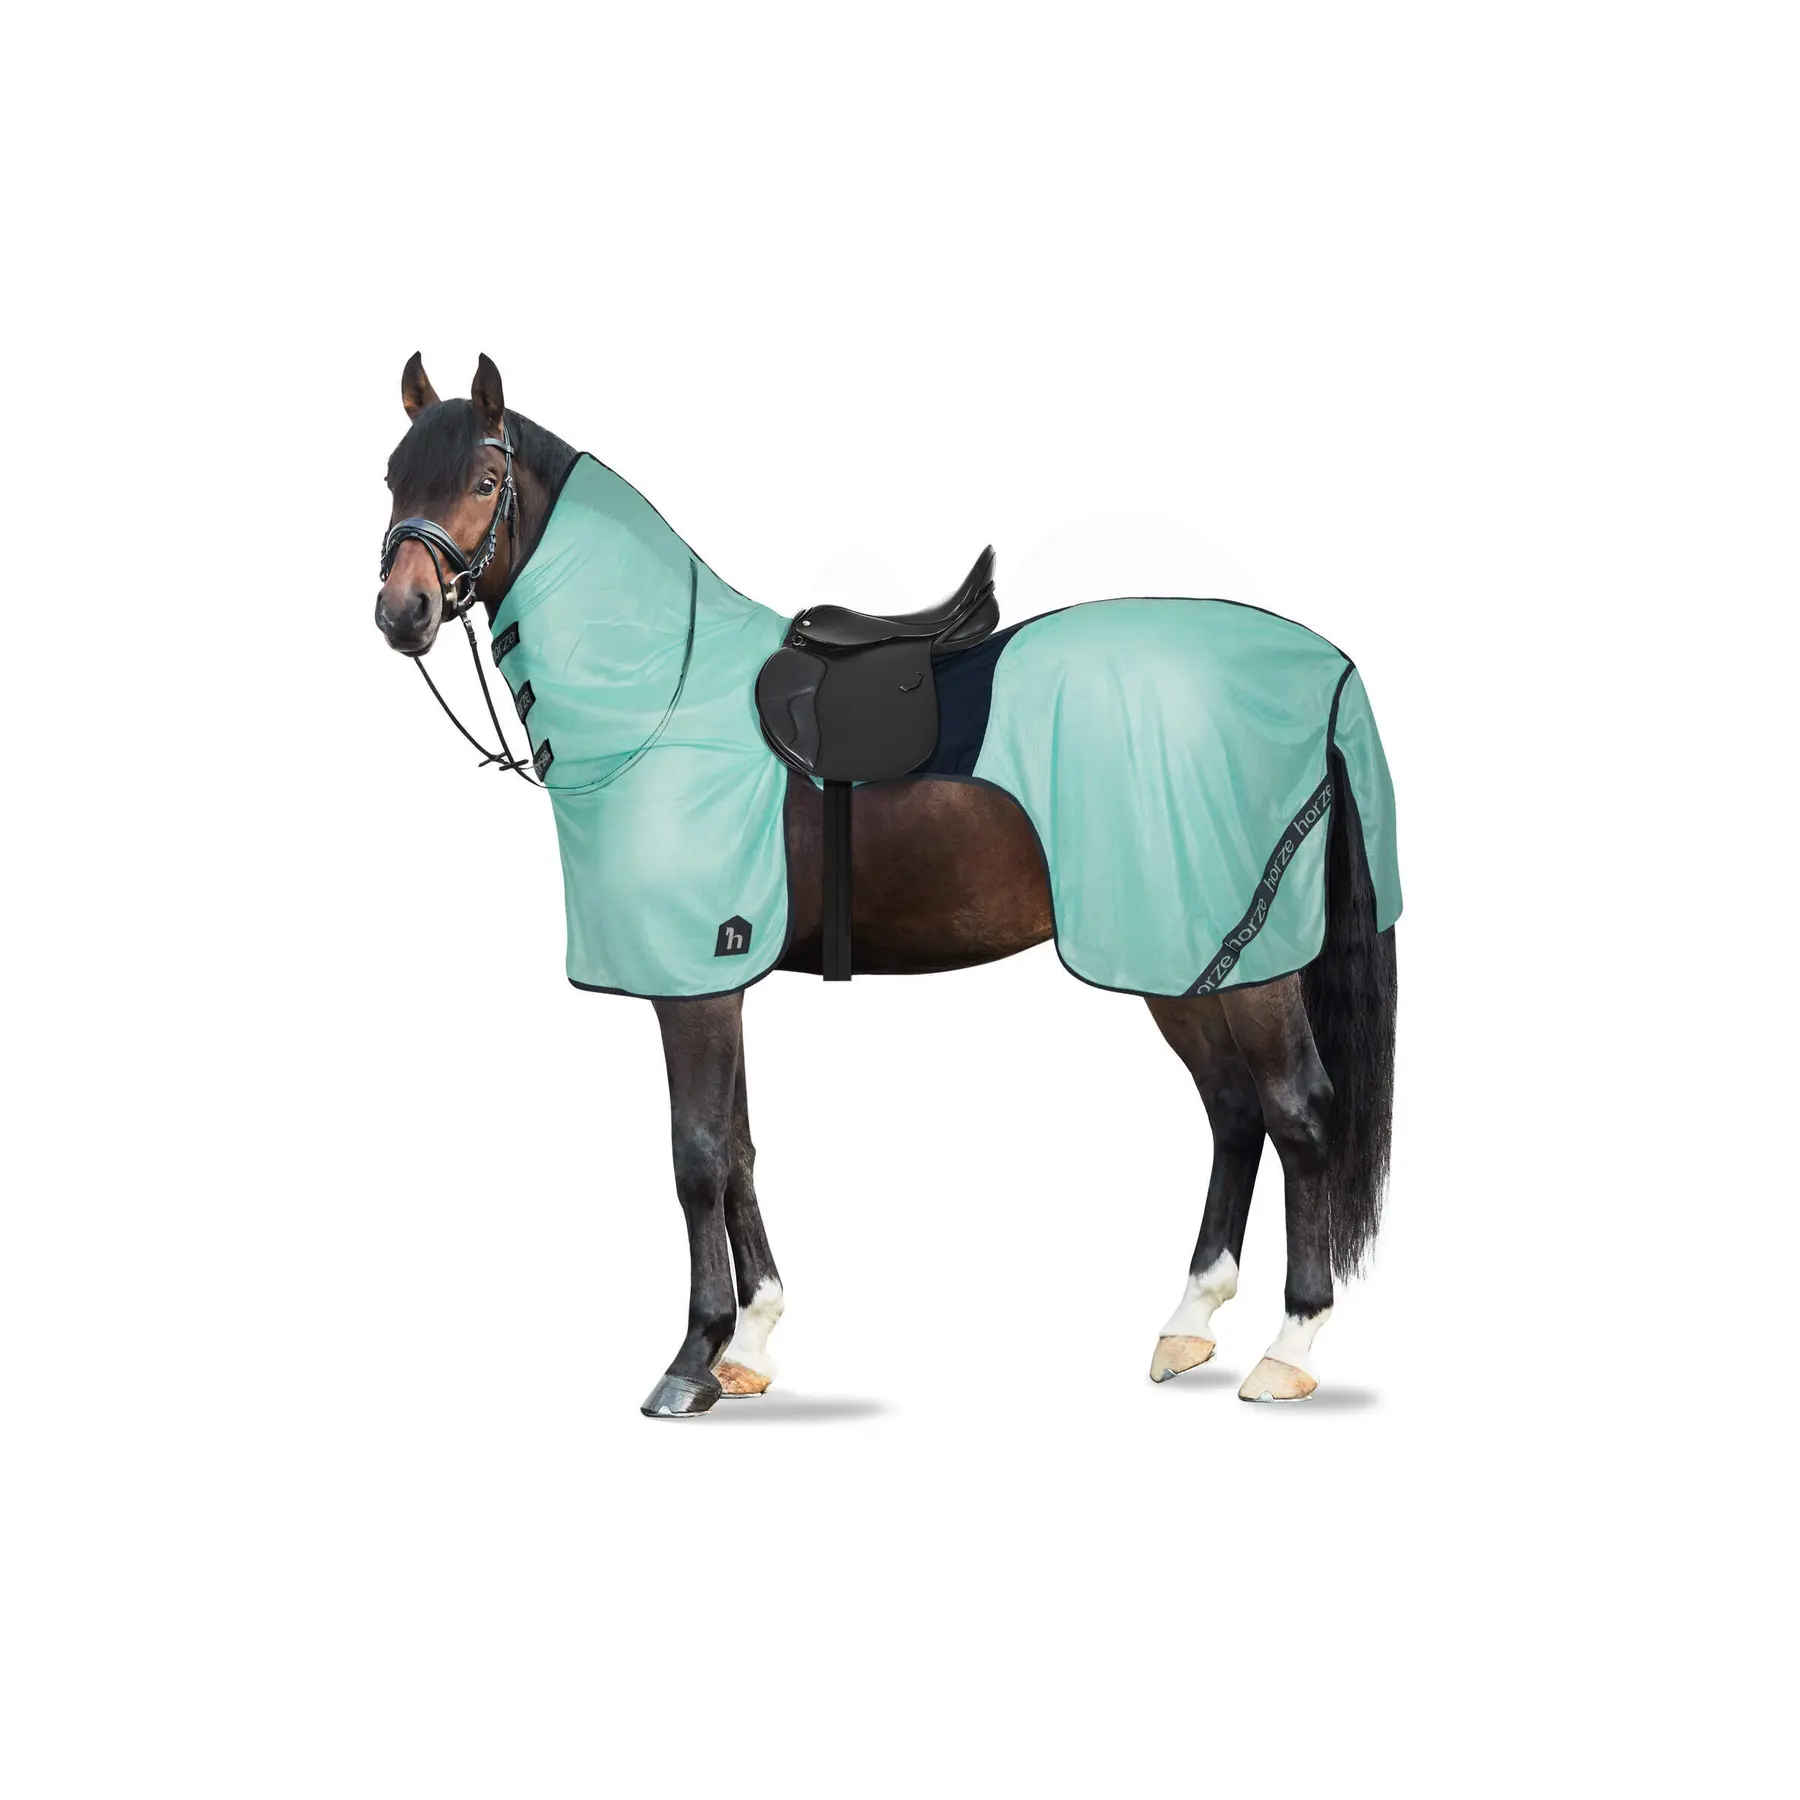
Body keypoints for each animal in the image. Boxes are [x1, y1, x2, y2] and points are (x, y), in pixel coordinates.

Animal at [373, 352, 1400, 1417]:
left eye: (482, 482)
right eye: (393, 480)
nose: (403, 614)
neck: (662, 689)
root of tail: (1327, 668)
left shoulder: (691, 985)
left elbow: (696, 1157)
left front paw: (692, 1359)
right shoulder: (722, 980)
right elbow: (740, 1149)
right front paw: (752, 1342)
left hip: (1245, 960)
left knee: (1300, 1115)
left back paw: (1290, 1346)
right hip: (1181, 958)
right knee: (1235, 1113)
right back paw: (1189, 1324)